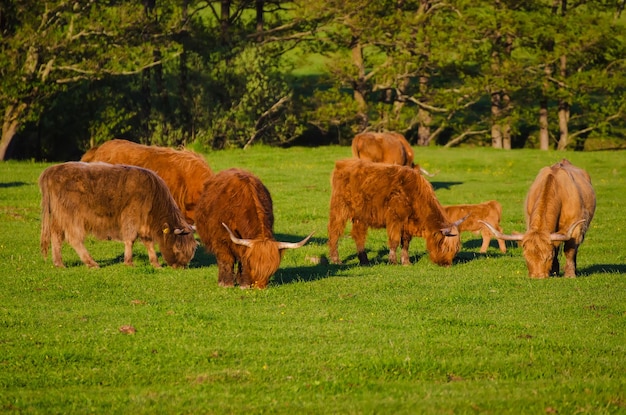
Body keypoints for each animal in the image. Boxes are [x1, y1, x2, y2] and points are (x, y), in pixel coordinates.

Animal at [39, 162, 195, 270]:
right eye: (178, 247)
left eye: (191, 250)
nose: (181, 266)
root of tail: (52, 170)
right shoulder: (132, 216)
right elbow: (130, 238)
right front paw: (129, 262)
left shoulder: (143, 223)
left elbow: (148, 241)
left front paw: (155, 263)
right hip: (72, 216)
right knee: (74, 238)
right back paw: (91, 263)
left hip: (59, 216)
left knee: (56, 235)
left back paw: (59, 263)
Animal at [326, 159, 464, 266]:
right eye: (445, 247)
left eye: (456, 249)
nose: (446, 264)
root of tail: (342, 163)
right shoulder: (395, 219)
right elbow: (395, 240)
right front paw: (393, 261)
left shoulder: (407, 224)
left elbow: (406, 243)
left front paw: (406, 262)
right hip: (340, 208)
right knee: (335, 232)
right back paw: (336, 259)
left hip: (360, 216)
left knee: (359, 235)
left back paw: (364, 261)